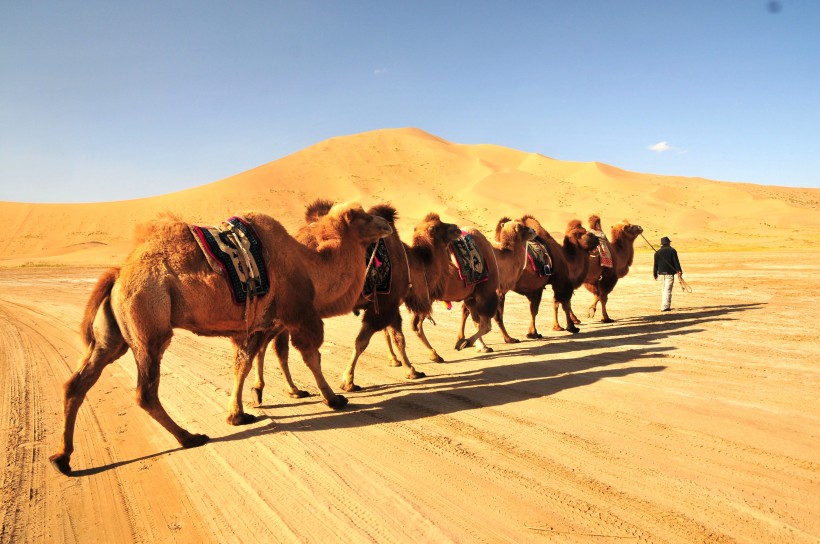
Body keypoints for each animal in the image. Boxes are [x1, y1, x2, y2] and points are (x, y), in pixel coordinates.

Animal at [49, 202, 392, 474]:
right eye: (363, 216)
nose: (387, 224)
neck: (311, 268)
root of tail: (118, 273)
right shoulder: (299, 313)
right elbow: (311, 356)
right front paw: (334, 398)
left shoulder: (255, 325)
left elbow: (243, 365)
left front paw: (237, 413)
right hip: (148, 324)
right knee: (145, 392)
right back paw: (189, 438)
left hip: (112, 336)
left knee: (77, 383)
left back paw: (62, 459)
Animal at [250, 200, 462, 396]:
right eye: (436, 227)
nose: (457, 228)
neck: (410, 264)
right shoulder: (387, 303)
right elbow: (367, 341)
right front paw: (349, 381)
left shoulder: (386, 303)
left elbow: (394, 336)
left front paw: (405, 366)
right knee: (271, 344)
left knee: (271, 345)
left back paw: (286, 389)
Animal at [454, 218, 540, 348]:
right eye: (523, 227)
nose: (534, 230)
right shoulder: (498, 291)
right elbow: (498, 316)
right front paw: (509, 339)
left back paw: (461, 338)